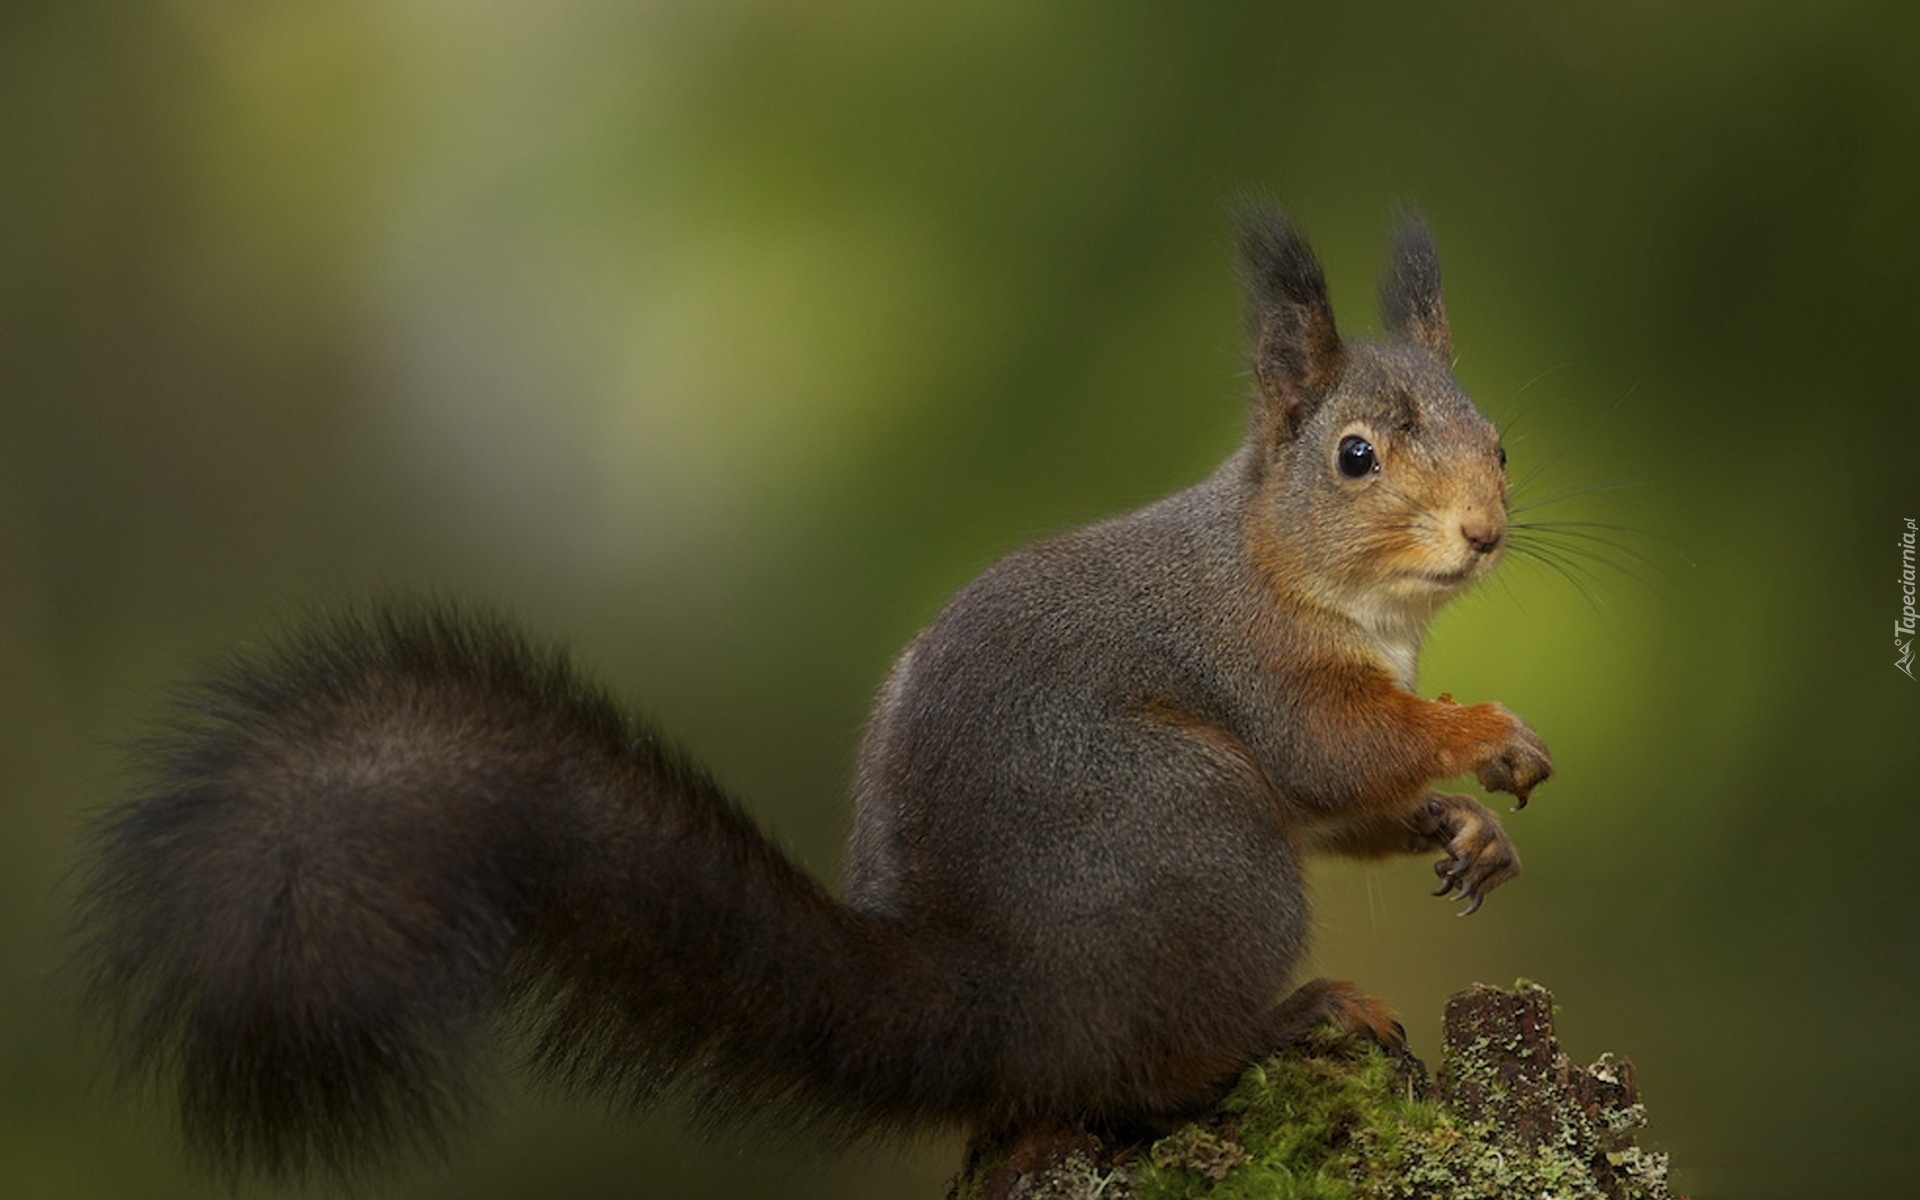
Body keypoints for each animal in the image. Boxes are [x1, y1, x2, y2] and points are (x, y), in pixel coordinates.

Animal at [71, 201, 1559, 1182]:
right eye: (1356, 456)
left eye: (1500, 439)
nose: (1486, 534)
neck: (1307, 574)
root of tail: (995, 1006)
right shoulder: (1253, 666)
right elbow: (1334, 753)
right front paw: (1485, 734)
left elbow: (1357, 804)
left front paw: (1468, 827)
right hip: (1199, 842)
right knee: (1148, 1070)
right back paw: (1289, 1022)